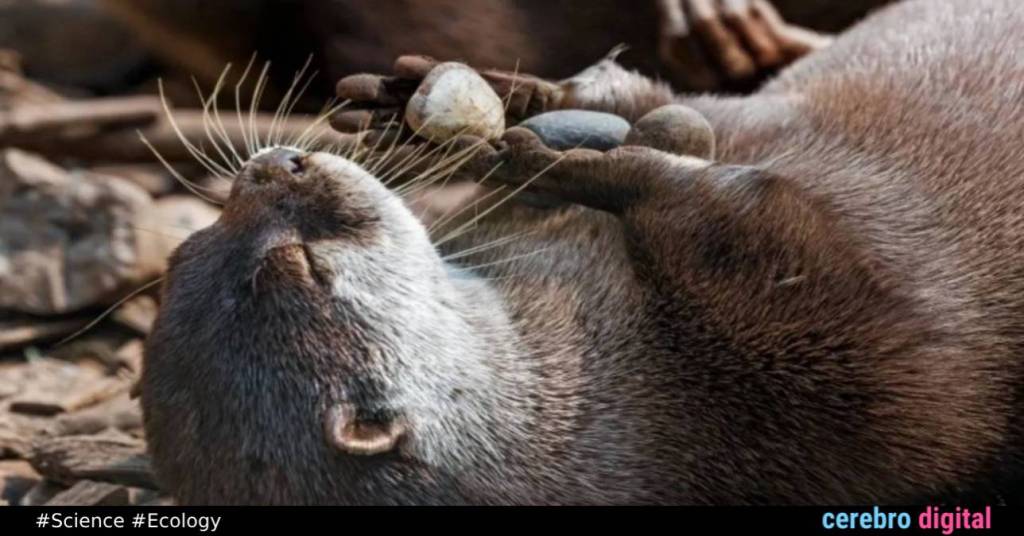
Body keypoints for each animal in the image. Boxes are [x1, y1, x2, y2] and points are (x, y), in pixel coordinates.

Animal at [142, 0, 1024, 504]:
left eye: (190, 245)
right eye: (301, 264)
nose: (273, 165)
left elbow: (648, 101)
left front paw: (504, 105)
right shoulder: (861, 370)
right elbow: (760, 223)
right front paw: (581, 163)